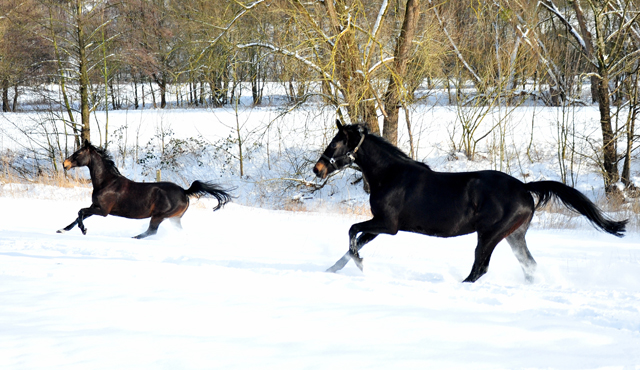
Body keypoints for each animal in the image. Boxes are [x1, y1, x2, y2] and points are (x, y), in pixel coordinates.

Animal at [57, 140, 232, 238]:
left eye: (78, 153)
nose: (65, 164)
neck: (107, 182)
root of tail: (184, 191)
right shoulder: (95, 206)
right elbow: (78, 215)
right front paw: (62, 230)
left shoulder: (103, 210)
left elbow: (80, 212)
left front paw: (84, 230)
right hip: (174, 218)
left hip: (159, 216)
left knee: (151, 231)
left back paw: (133, 238)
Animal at [312, 120, 628, 282]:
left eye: (336, 142)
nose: (318, 169)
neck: (390, 175)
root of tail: (524, 188)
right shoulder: (381, 226)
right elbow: (354, 242)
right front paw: (336, 268)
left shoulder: (387, 225)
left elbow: (352, 231)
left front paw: (358, 264)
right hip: (514, 235)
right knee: (529, 267)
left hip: (489, 234)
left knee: (480, 267)